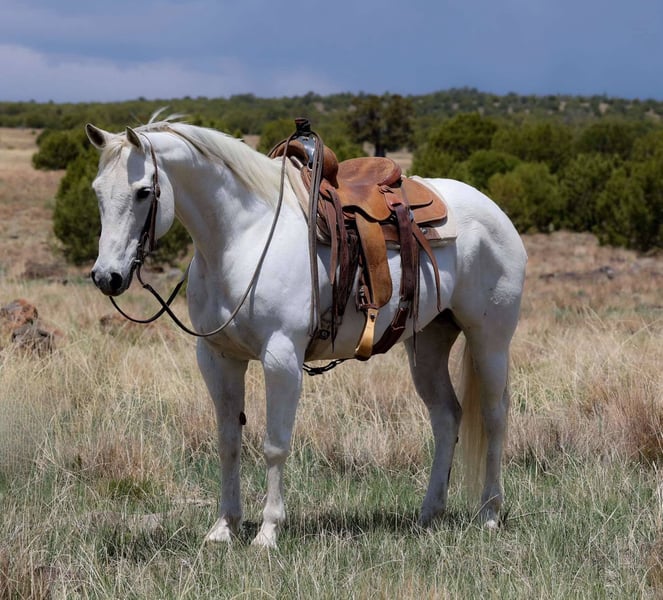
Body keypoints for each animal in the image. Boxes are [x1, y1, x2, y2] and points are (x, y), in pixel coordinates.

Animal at [85, 119, 527, 548]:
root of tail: (495, 212)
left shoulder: (281, 357)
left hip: (489, 340)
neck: (243, 236)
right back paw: (429, 513)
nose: (107, 277)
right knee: (447, 416)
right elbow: (228, 442)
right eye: (96, 192)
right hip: (430, 342)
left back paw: (490, 513)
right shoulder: (217, 358)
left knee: (494, 417)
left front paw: (267, 532)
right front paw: (224, 527)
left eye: (143, 192)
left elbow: (275, 445)